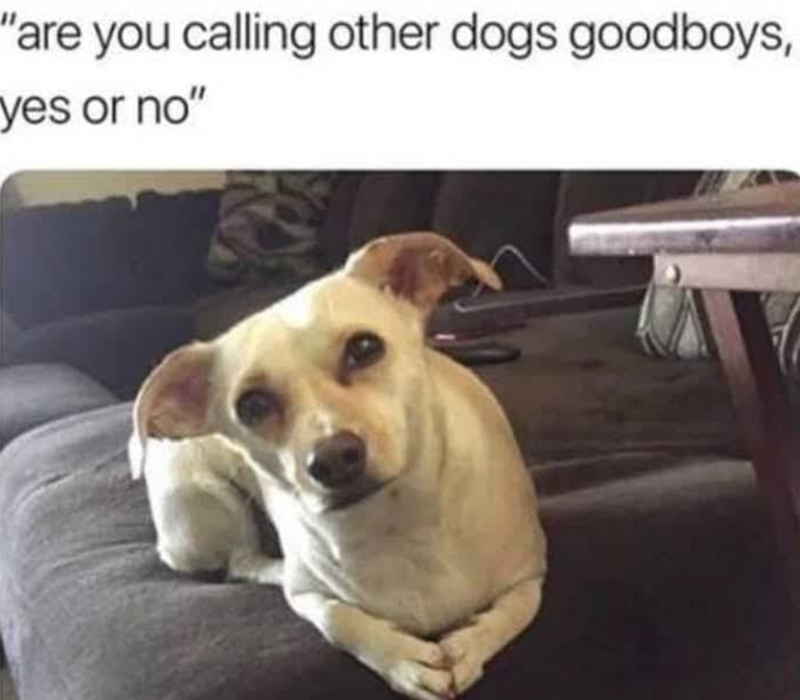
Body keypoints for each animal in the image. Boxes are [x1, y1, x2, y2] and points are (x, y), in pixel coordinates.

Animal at [130, 232, 547, 699]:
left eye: (364, 348)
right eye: (251, 405)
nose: (331, 458)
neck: (394, 522)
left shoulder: (531, 573)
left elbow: (519, 608)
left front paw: (470, 645)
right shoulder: (310, 596)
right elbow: (336, 616)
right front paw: (401, 658)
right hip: (207, 506)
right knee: (242, 561)